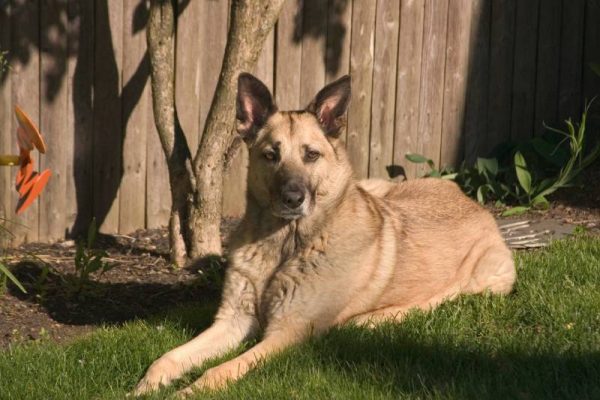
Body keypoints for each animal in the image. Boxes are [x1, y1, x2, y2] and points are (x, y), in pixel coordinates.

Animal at [135, 73, 516, 396]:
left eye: (311, 155)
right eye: (270, 155)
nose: (292, 198)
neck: (285, 246)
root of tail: (475, 204)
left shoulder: (287, 332)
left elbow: (222, 369)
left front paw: (189, 390)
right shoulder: (233, 320)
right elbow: (167, 357)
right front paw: (147, 385)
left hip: (483, 282)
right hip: (377, 186)